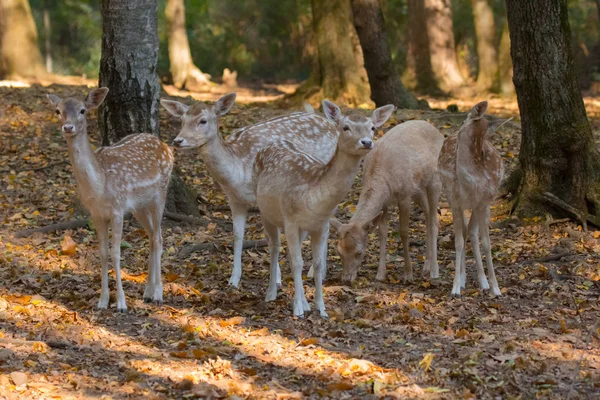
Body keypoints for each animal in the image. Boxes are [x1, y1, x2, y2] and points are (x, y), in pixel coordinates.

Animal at [47, 88, 173, 312]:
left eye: (82, 110)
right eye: (58, 110)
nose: (68, 127)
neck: (100, 185)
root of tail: (167, 147)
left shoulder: (117, 208)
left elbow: (116, 252)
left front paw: (121, 304)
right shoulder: (96, 214)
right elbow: (103, 252)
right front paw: (102, 301)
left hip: (160, 193)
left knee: (158, 238)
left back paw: (158, 294)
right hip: (139, 207)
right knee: (152, 236)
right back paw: (147, 292)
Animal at [159, 94, 340, 290]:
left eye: (203, 120)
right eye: (182, 120)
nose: (178, 141)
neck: (237, 172)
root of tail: (332, 125)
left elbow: (270, 237)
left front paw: (276, 280)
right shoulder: (234, 199)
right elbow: (238, 235)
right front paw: (233, 279)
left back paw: (316, 272)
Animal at [252, 99, 394, 316]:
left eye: (372, 127)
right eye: (345, 127)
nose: (366, 142)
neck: (314, 197)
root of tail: (269, 145)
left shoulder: (321, 226)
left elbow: (317, 264)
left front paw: (321, 308)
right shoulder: (290, 220)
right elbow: (297, 262)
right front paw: (298, 310)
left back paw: (304, 301)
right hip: (265, 210)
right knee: (274, 247)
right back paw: (271, 294)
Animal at [328, 120, 446, 282]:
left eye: (359, 252)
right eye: (339, 251)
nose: (346, 279)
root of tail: (438, 132)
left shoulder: (405, 195)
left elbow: (403, 231)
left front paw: (408, 275)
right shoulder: (385, 202)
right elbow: (382, 231)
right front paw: (380, 274)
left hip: (435, 181)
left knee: (434, 220)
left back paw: (434, 271)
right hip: (419, 189)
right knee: (428, 215)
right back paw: (426, 266)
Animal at [438, 101, 508, 296]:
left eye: (464, 119)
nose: (456, 130)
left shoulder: (485, 202)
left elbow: (487, 243)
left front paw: (496, 288)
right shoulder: (455, 201)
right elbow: (458, 242)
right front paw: (455, 288)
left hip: (479, 205)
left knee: (472, 231)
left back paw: (482, 281)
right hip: (450, 196)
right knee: (464, 231)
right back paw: (463, 280)